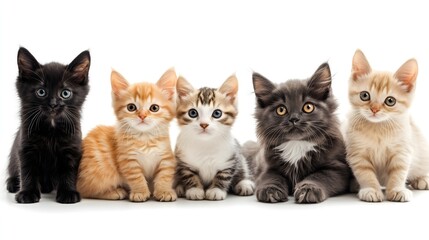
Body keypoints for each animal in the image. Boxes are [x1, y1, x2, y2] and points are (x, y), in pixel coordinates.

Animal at [6, 46, 90, 202]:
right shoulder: (26, 146)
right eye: (41, 92)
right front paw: (27, 193)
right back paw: (13, 183)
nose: (53, 104)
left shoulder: (72, 147)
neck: (51, 128)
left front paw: (68, 192)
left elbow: (69, 170)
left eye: (65, 93)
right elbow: (27, 170)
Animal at [76, 68, 176, 202]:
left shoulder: (166, 157)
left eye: (154, 108)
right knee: (86, 190)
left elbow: (165, 175)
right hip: (100, 172)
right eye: (131, 107)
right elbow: (136, 177)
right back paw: (115, 192)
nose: (142, 116)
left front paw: (164, 191)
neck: (145, 138)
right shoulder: (128, 159)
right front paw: (140, 192)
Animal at [241, 62, 352, 203]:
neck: (296, 144)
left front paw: (308, 189)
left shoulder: (338, 168)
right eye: (281, 110)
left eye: (308, 107)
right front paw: (270, 190)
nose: (294, 119)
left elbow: (319, 176)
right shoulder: (267, 168)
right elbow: (271, 178)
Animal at [344, 49, 428, 202]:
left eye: (390, 101)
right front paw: (370, 189)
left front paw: (397, 189)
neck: (378, 128)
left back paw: (422, 179)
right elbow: (365, 173)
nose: (374, 109)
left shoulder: (402, 151)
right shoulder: (357, 153)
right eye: (364, 95)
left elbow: (399, 172)